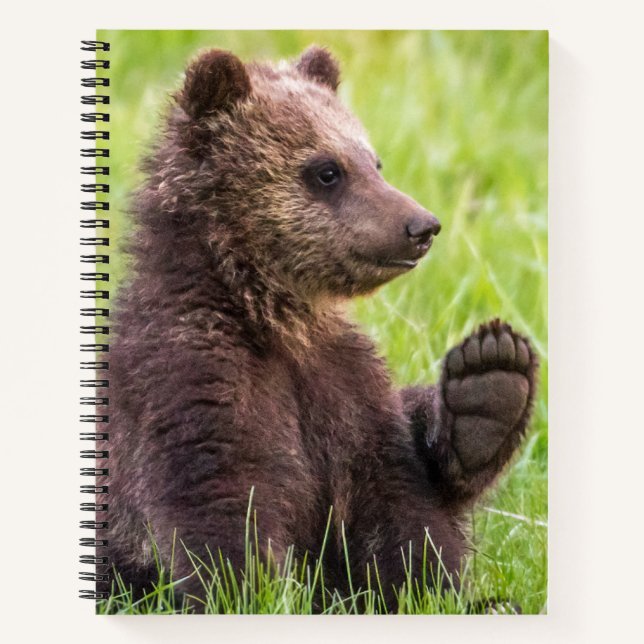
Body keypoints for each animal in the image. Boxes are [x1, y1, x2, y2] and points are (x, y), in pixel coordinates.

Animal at [96, 46, 538, 611]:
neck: (275, 317)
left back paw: (488, 388)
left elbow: (397, 510)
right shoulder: (191, 377)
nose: (422, 225)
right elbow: (224, 499)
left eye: (373, 161)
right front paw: (248, 591)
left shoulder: (345, 387)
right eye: (327, 171)